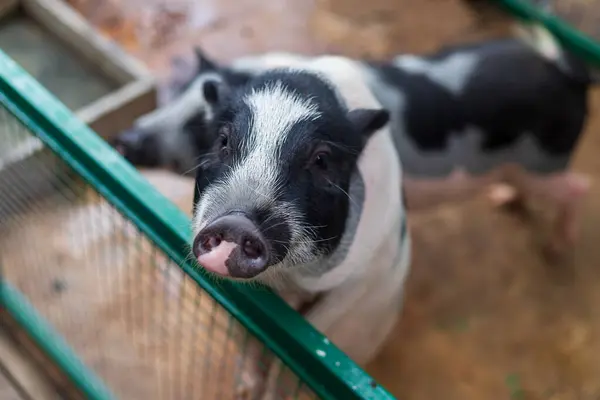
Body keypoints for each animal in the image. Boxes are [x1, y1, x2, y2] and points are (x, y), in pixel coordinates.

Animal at [190, 54, 410, 398]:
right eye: (223, 141)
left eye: (321, 159)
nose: (237, 221)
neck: (287, 282)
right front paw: (244, 390)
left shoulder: (354, 286)